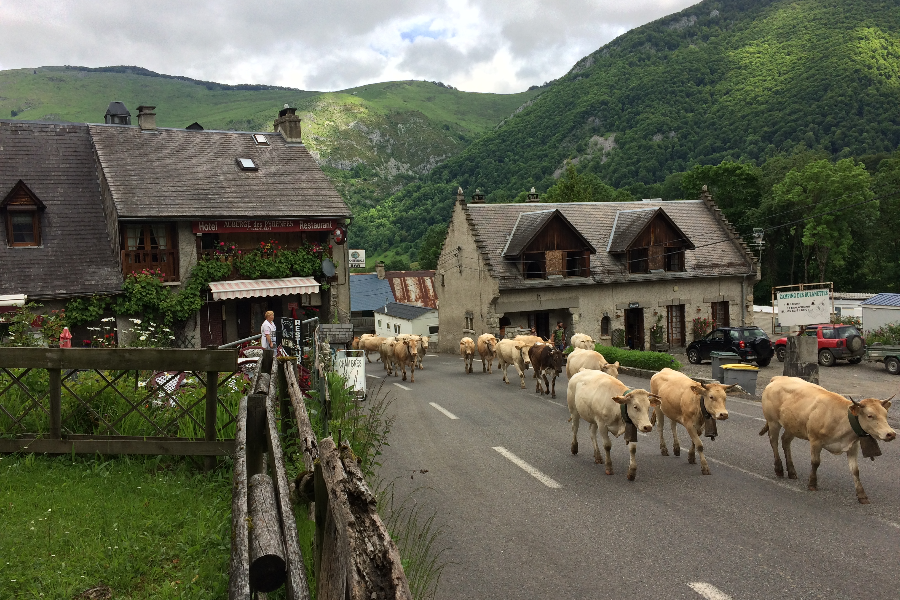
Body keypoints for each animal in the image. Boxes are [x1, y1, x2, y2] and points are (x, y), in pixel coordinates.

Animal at [760, 378, 892, 504]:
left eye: (885, 415)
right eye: (870, 415)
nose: (891, 433)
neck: (841, 420)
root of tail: (777, 378)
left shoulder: (853, 446)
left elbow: (855, 471)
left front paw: (862, 496)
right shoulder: (815, 440)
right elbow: (815, 462)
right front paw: (812, 484)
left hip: (793, 426)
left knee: (785, 441)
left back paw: (792, 471)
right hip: (773, 421)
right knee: (774, 441)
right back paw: (779, 469)